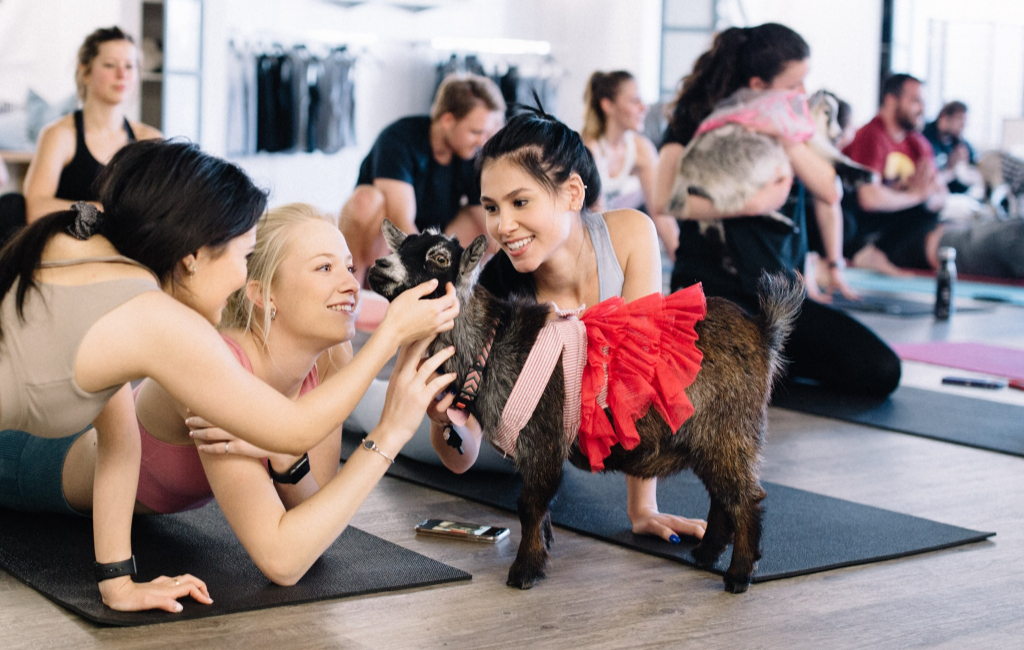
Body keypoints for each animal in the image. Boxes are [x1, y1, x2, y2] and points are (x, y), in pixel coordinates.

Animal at [364, 224, 802, 593]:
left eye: (439, 258)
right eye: (401, 246)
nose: (379, 266)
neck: (490, 345)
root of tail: (763, 330)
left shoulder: (542, 439)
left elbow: (529, 504)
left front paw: (524, 572)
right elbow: (541, 509)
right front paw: (543, 549)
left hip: (729, 429)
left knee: (746, 497)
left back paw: (738, 576)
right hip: (709, 437)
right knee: (721, 496)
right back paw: (706, 555)